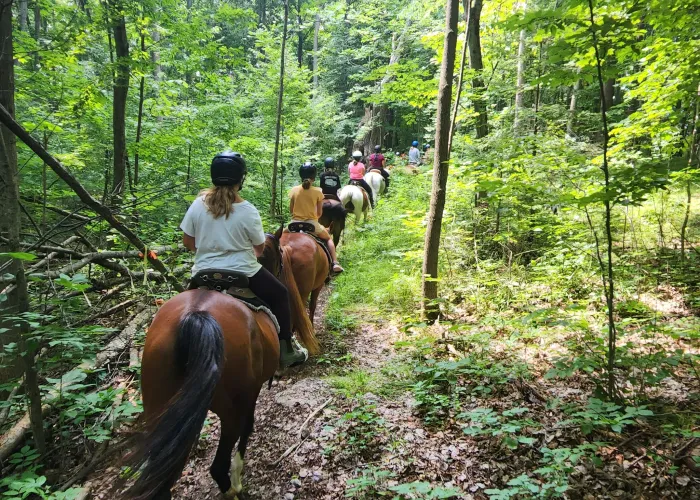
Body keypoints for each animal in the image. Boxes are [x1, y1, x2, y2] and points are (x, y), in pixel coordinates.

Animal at [122, 235, 318, 500]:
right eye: (279, 257)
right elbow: (248, 426)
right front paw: (238, 474)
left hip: (161, 412)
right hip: (230, 405)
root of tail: (195, 316)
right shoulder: (251, 392)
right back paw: (233, 488)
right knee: (218, 464)